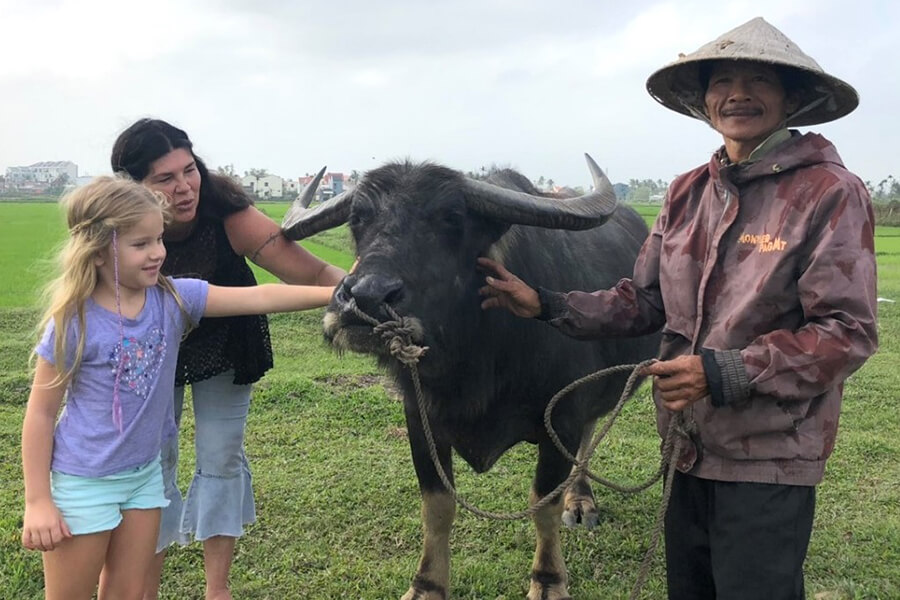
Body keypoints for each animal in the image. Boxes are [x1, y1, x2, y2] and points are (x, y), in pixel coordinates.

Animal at [284, 157, 660, 596]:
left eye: (452, 217)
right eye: (359, 218)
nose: (365, 297)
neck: (475, 360)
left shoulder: (561, 418)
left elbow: (543, 506)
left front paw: (548, 580)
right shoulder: (420, 422)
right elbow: (437, 506)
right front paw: (427, 584)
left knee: (587, 441)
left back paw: (580, 501)